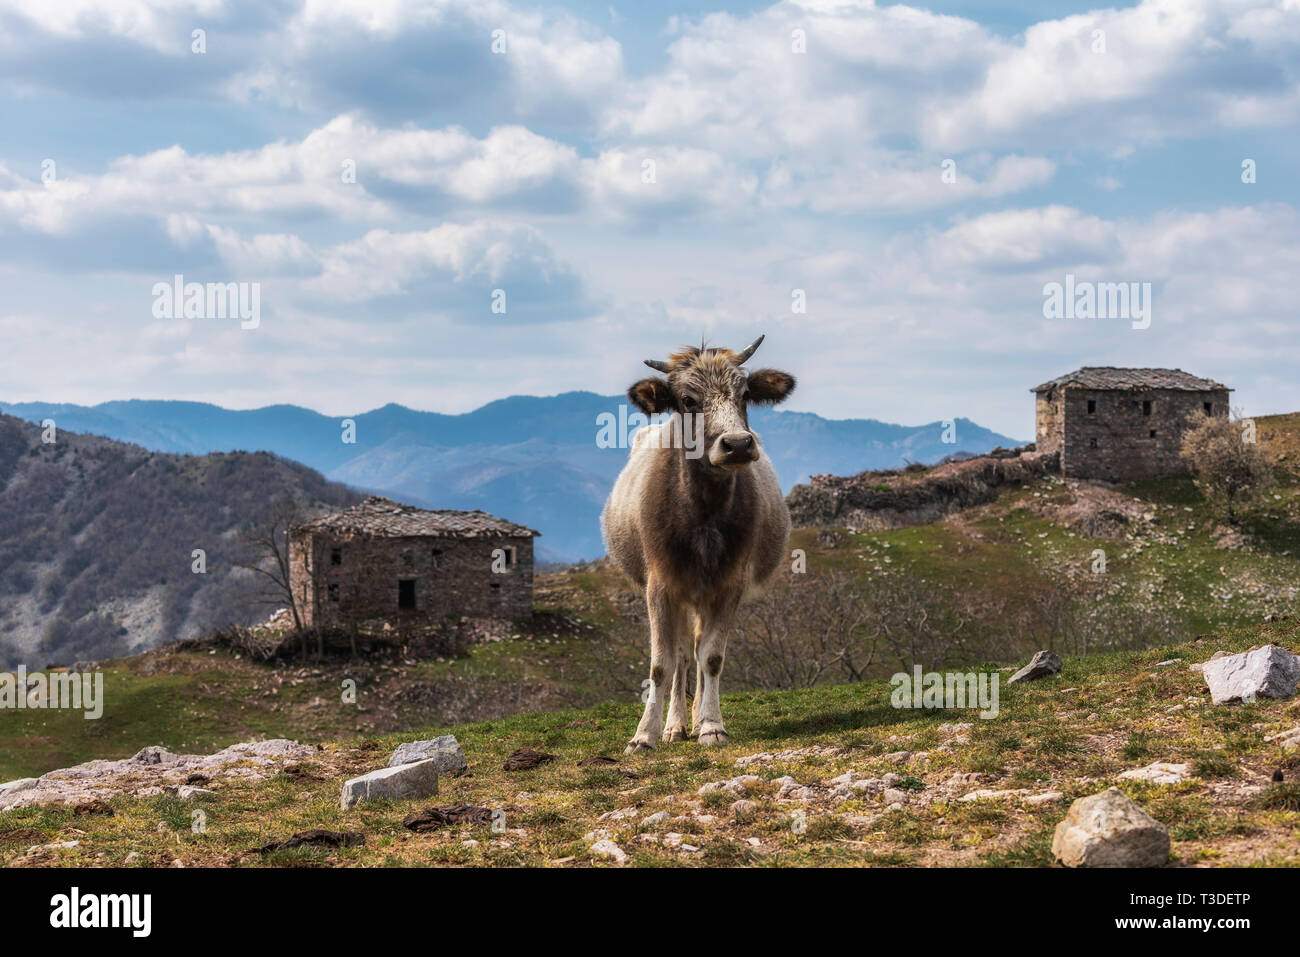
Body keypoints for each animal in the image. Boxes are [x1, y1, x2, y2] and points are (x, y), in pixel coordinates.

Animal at [603, 335, 795, 754]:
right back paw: (675, 725)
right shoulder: (660, 584)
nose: (737, 445)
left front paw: (711, 726)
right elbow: (661, 664)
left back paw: (692, 719)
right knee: (679, 657)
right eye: (688, 400)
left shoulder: (729, 584)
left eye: (745, 395)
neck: (704, 511)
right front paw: (644, 735)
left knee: (694, 650)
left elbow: (712, 657)